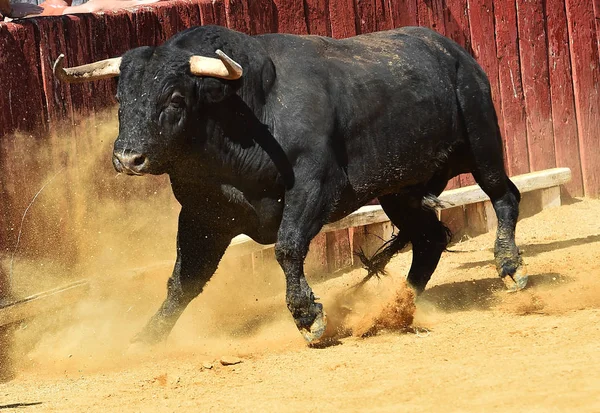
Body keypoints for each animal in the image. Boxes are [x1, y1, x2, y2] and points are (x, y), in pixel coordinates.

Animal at [54, 24, 528, 342]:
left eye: (174, 99)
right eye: (120, 98)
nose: (127, 158)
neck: (246, 114)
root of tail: (455, 51)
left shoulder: (313, 187)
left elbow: (287, 247)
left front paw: (308, 318)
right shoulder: (203, 214)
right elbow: (184, 279)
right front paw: (147, 337)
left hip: (482, 144)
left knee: (504, 195)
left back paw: (510, 269)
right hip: (399, 189)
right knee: (429, 238)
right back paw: (397, 304)